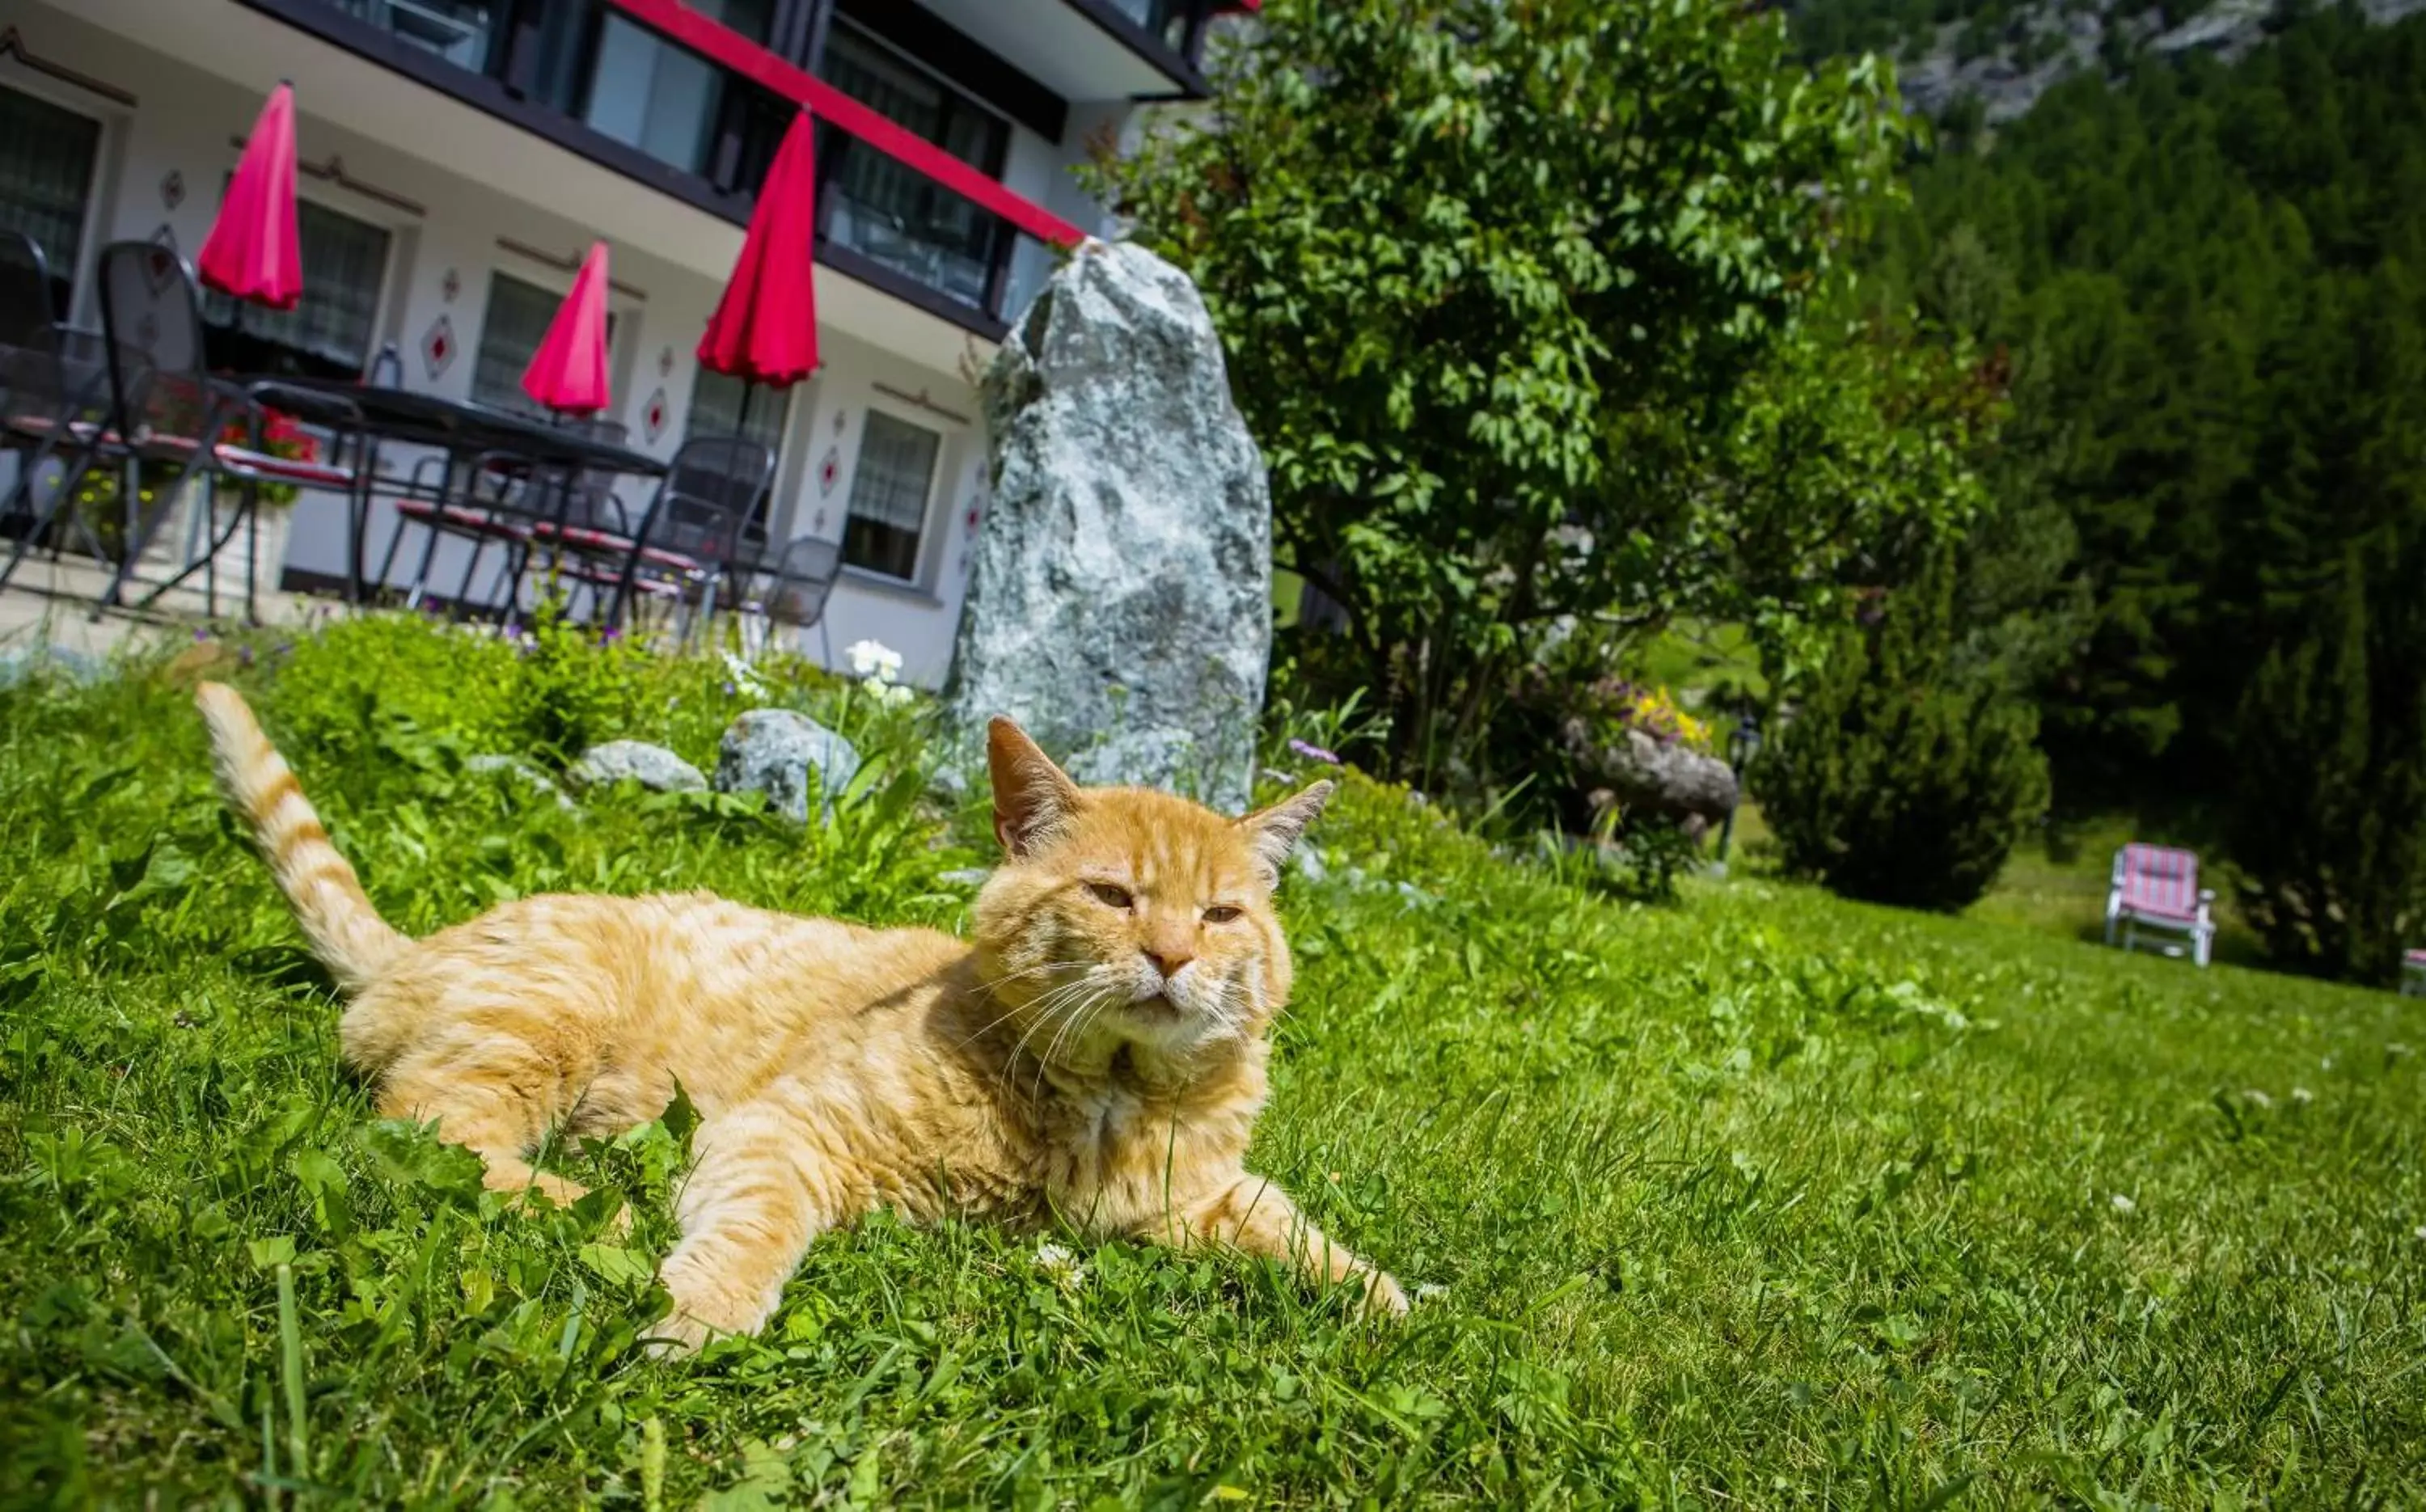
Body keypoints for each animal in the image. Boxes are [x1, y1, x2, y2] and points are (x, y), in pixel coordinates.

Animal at [199, 684, 1417, 1349]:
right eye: (1114, 895)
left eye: (1220, 914)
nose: (1171, 956)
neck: (1113, 1100)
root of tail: (418, 946)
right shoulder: (783, 1134)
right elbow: (754, 1230)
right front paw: (698, 1313)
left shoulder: (1205, 1195)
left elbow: (1303, 1233)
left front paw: (1402, 1306)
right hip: (541, 1026)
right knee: (425, 1128)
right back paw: (602, 1206)